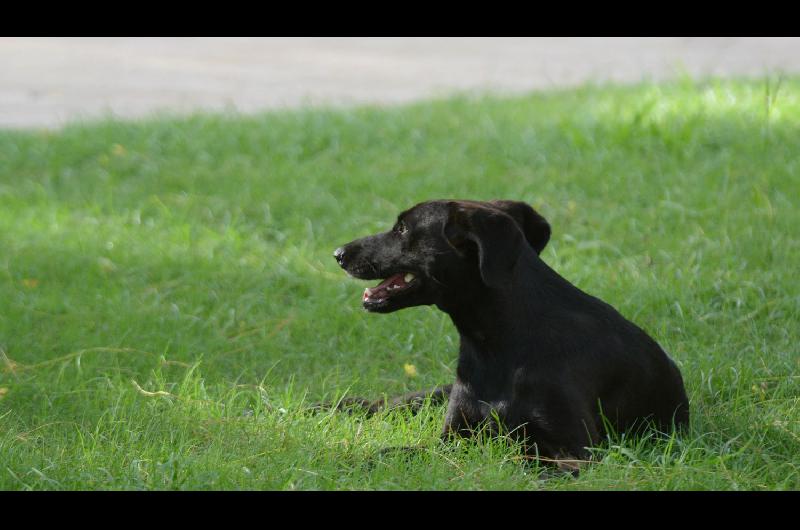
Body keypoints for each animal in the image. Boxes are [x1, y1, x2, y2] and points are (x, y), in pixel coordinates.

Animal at [332, 200, 688, 464]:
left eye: (403, 228)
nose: (337, 254)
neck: (495, 343)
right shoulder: (451, 437)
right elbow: (387, 453)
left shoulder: (574, 452)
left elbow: (515, 458)